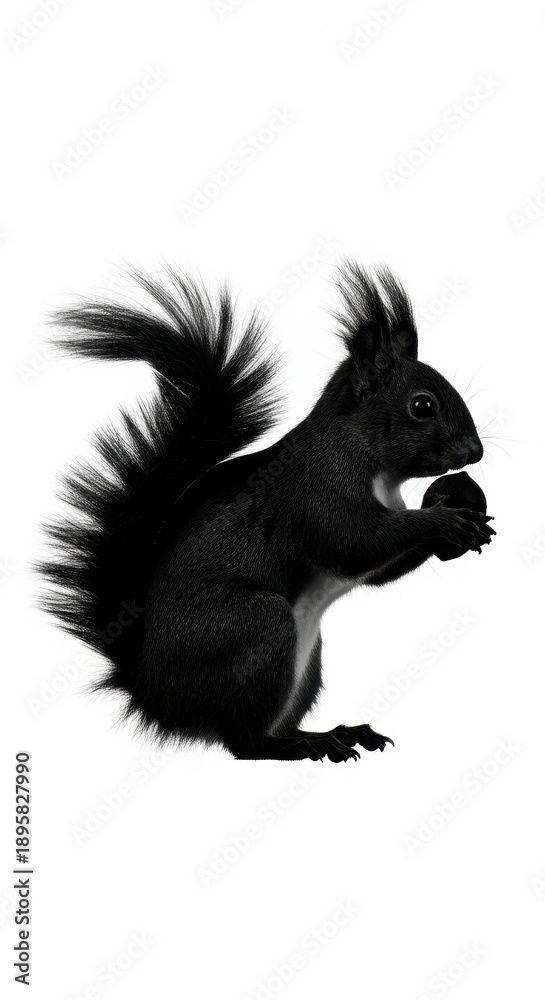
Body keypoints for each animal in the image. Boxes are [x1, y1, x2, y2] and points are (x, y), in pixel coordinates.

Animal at [40, 262, 495, 763]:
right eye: (422, 405)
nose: (475, 453)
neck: (369, 460)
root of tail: (155, 696)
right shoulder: (317, 495)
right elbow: (354, 545)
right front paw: (442, 520)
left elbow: (375, 568)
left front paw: (458, 519)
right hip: (258, 628)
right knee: (245, 744)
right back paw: (309, 745)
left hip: (305, 661)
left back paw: (336, 734)